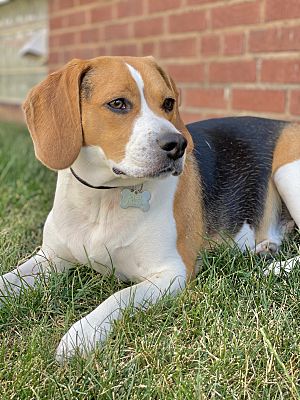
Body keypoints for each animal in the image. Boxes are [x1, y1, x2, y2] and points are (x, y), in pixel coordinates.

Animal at [0, 55, 300, 362]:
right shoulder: (49, 257)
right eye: (118, 103)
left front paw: (81, 334)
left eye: (168, 103)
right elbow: (8, 280)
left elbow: (119, 297)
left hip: (287, 171)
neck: (103, 198)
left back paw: (274, 268)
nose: (177, 144)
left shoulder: (172, 273)